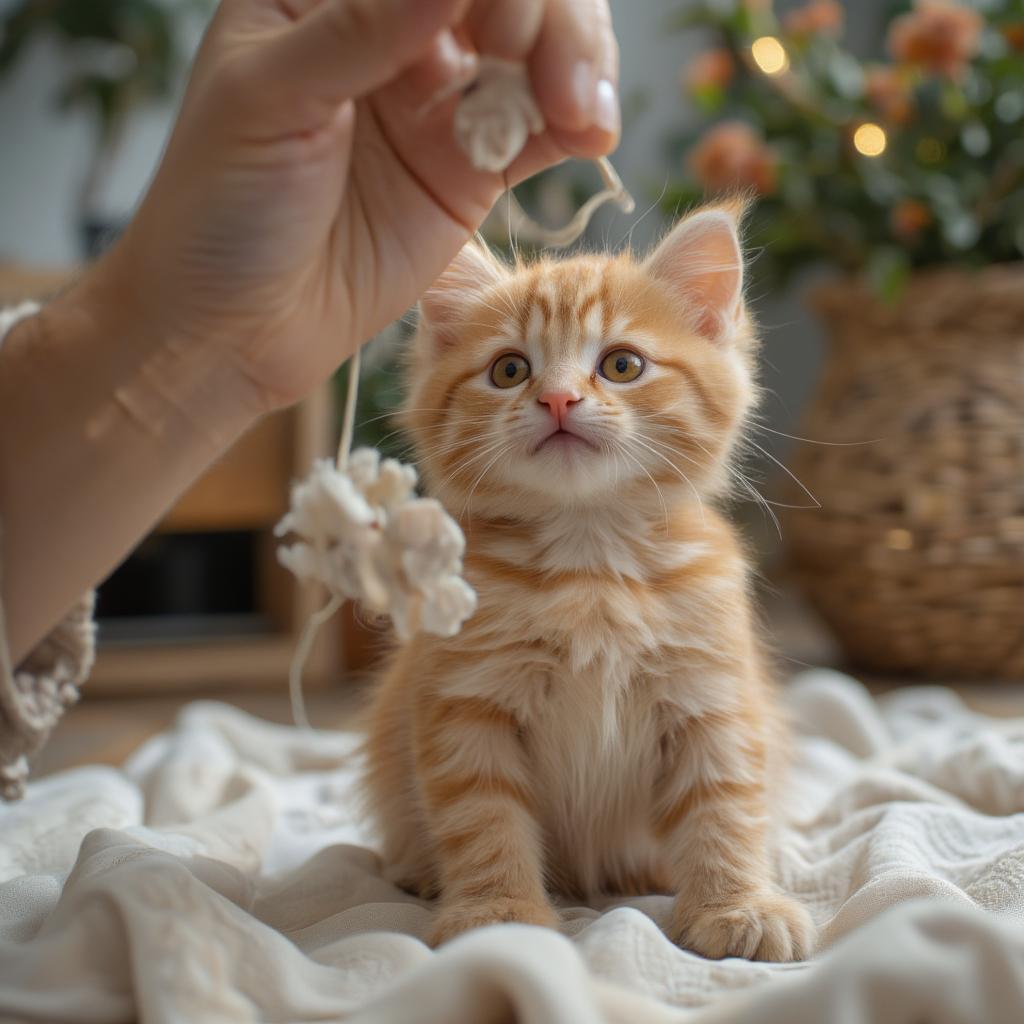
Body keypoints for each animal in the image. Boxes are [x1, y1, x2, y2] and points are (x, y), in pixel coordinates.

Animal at [360, 205, 815, 958]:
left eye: (622, 365)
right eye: (509, 369)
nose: (557, 398)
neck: (590, 565)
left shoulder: (713, 697)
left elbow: (724, 805)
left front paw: (737, 905)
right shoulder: (464, 701)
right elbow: (483, 817)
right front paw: (498, 910)